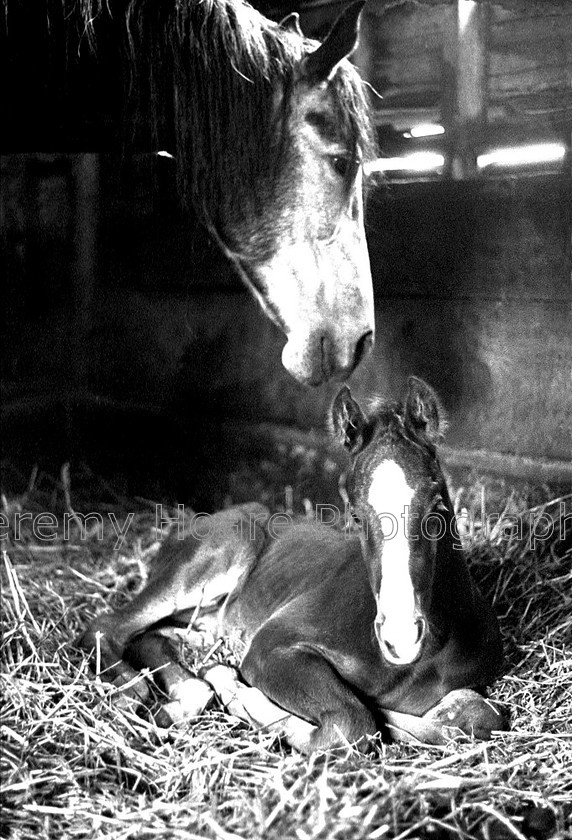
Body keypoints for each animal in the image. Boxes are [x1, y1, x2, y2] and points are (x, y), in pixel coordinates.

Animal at [79, 378, 504, 752]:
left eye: (437, 505)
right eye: (356, 515)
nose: (400, 638)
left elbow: (478, 716)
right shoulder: (272, 645)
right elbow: (352, 722)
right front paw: (240, 692)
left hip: (207, 622)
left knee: (156, 636)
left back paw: (184, 695)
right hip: (211, 561)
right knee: (107, 626)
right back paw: (136, 690)